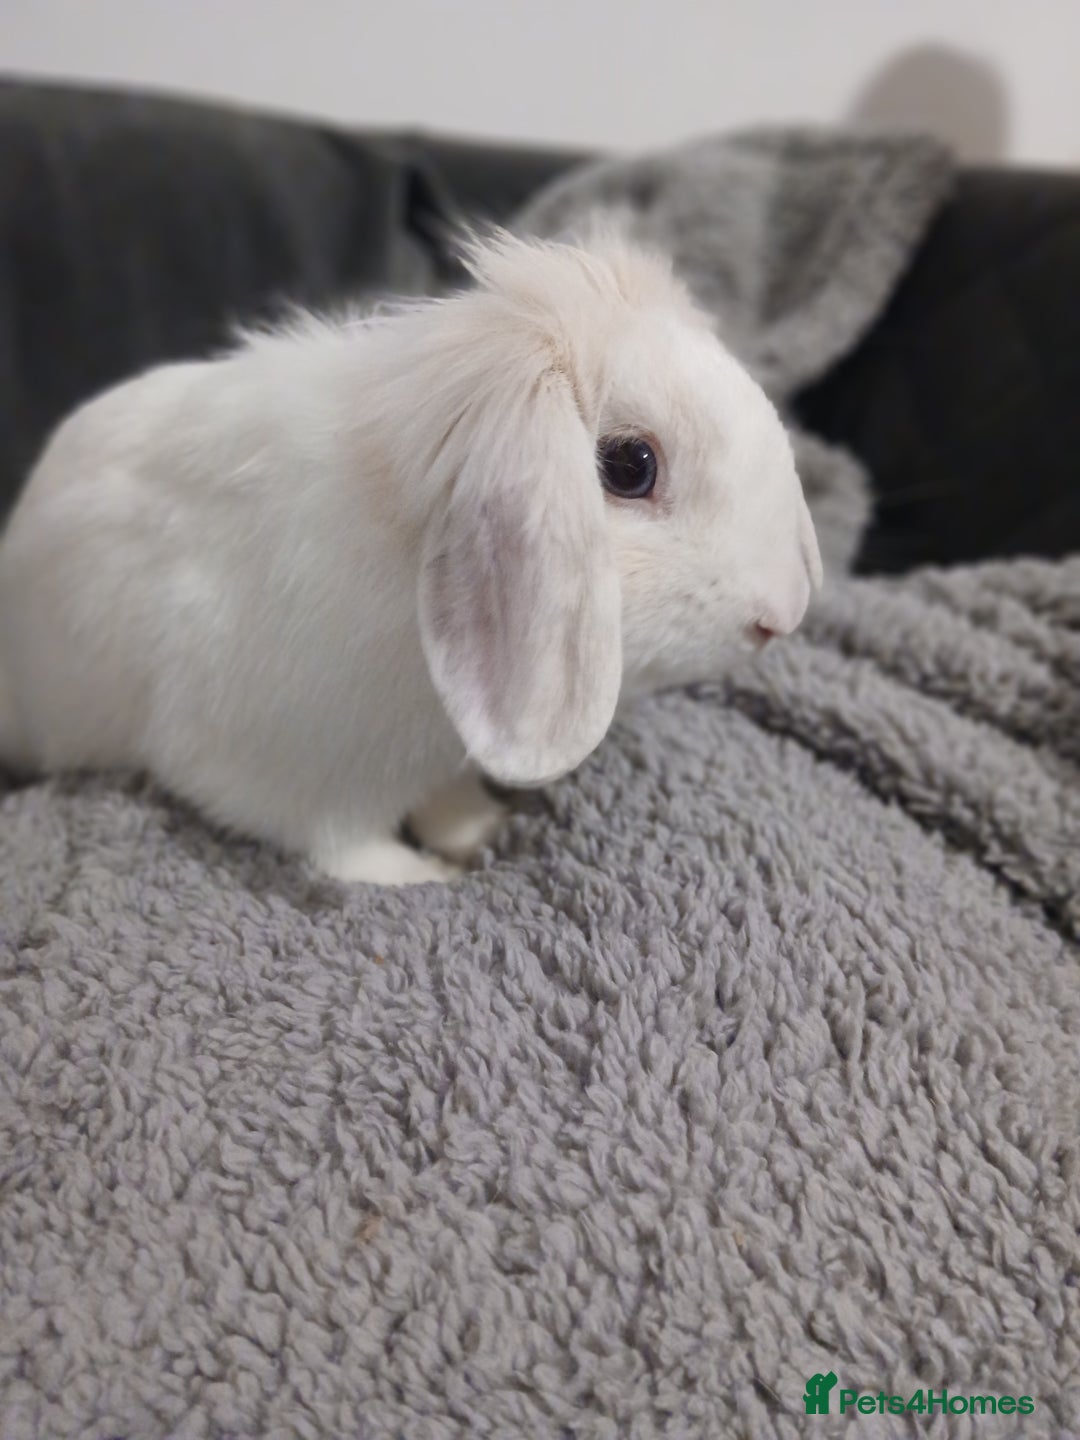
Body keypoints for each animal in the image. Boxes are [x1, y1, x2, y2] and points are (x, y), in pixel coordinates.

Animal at [0, 230, 822, 886]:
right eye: (629, 467)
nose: (782, 616)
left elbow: (448, 802)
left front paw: (482, 829)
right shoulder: (286, 778)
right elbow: (345, 850)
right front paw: (428, 877)